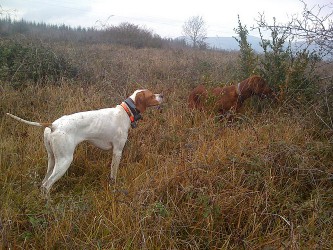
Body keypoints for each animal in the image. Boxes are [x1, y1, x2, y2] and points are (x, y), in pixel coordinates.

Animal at [6, 89, 162, 196]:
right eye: (151, 95)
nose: (162, 95)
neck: (125, 112)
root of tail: (53, 125)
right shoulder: (117, 151)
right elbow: (113, 174)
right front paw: (114, 187)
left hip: (52, 159)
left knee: (43, 183)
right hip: (65, 160)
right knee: (47, 185)